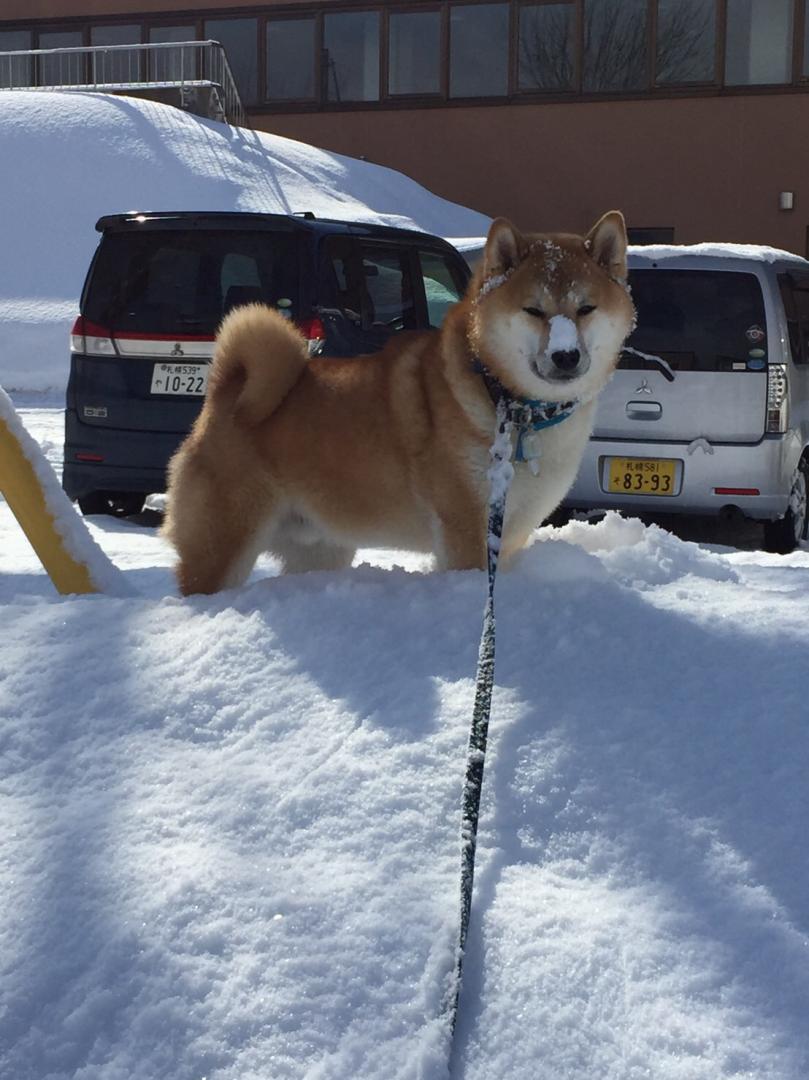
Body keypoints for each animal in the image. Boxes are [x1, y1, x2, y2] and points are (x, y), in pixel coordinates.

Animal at [162, 213, 630, 596]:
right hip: (222, 545)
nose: (566, 356)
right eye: (533, 310)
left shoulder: (510, 535)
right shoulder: (466, 530)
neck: (508, 402)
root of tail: (226, 391)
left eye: (586, 308)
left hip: (318, 549)